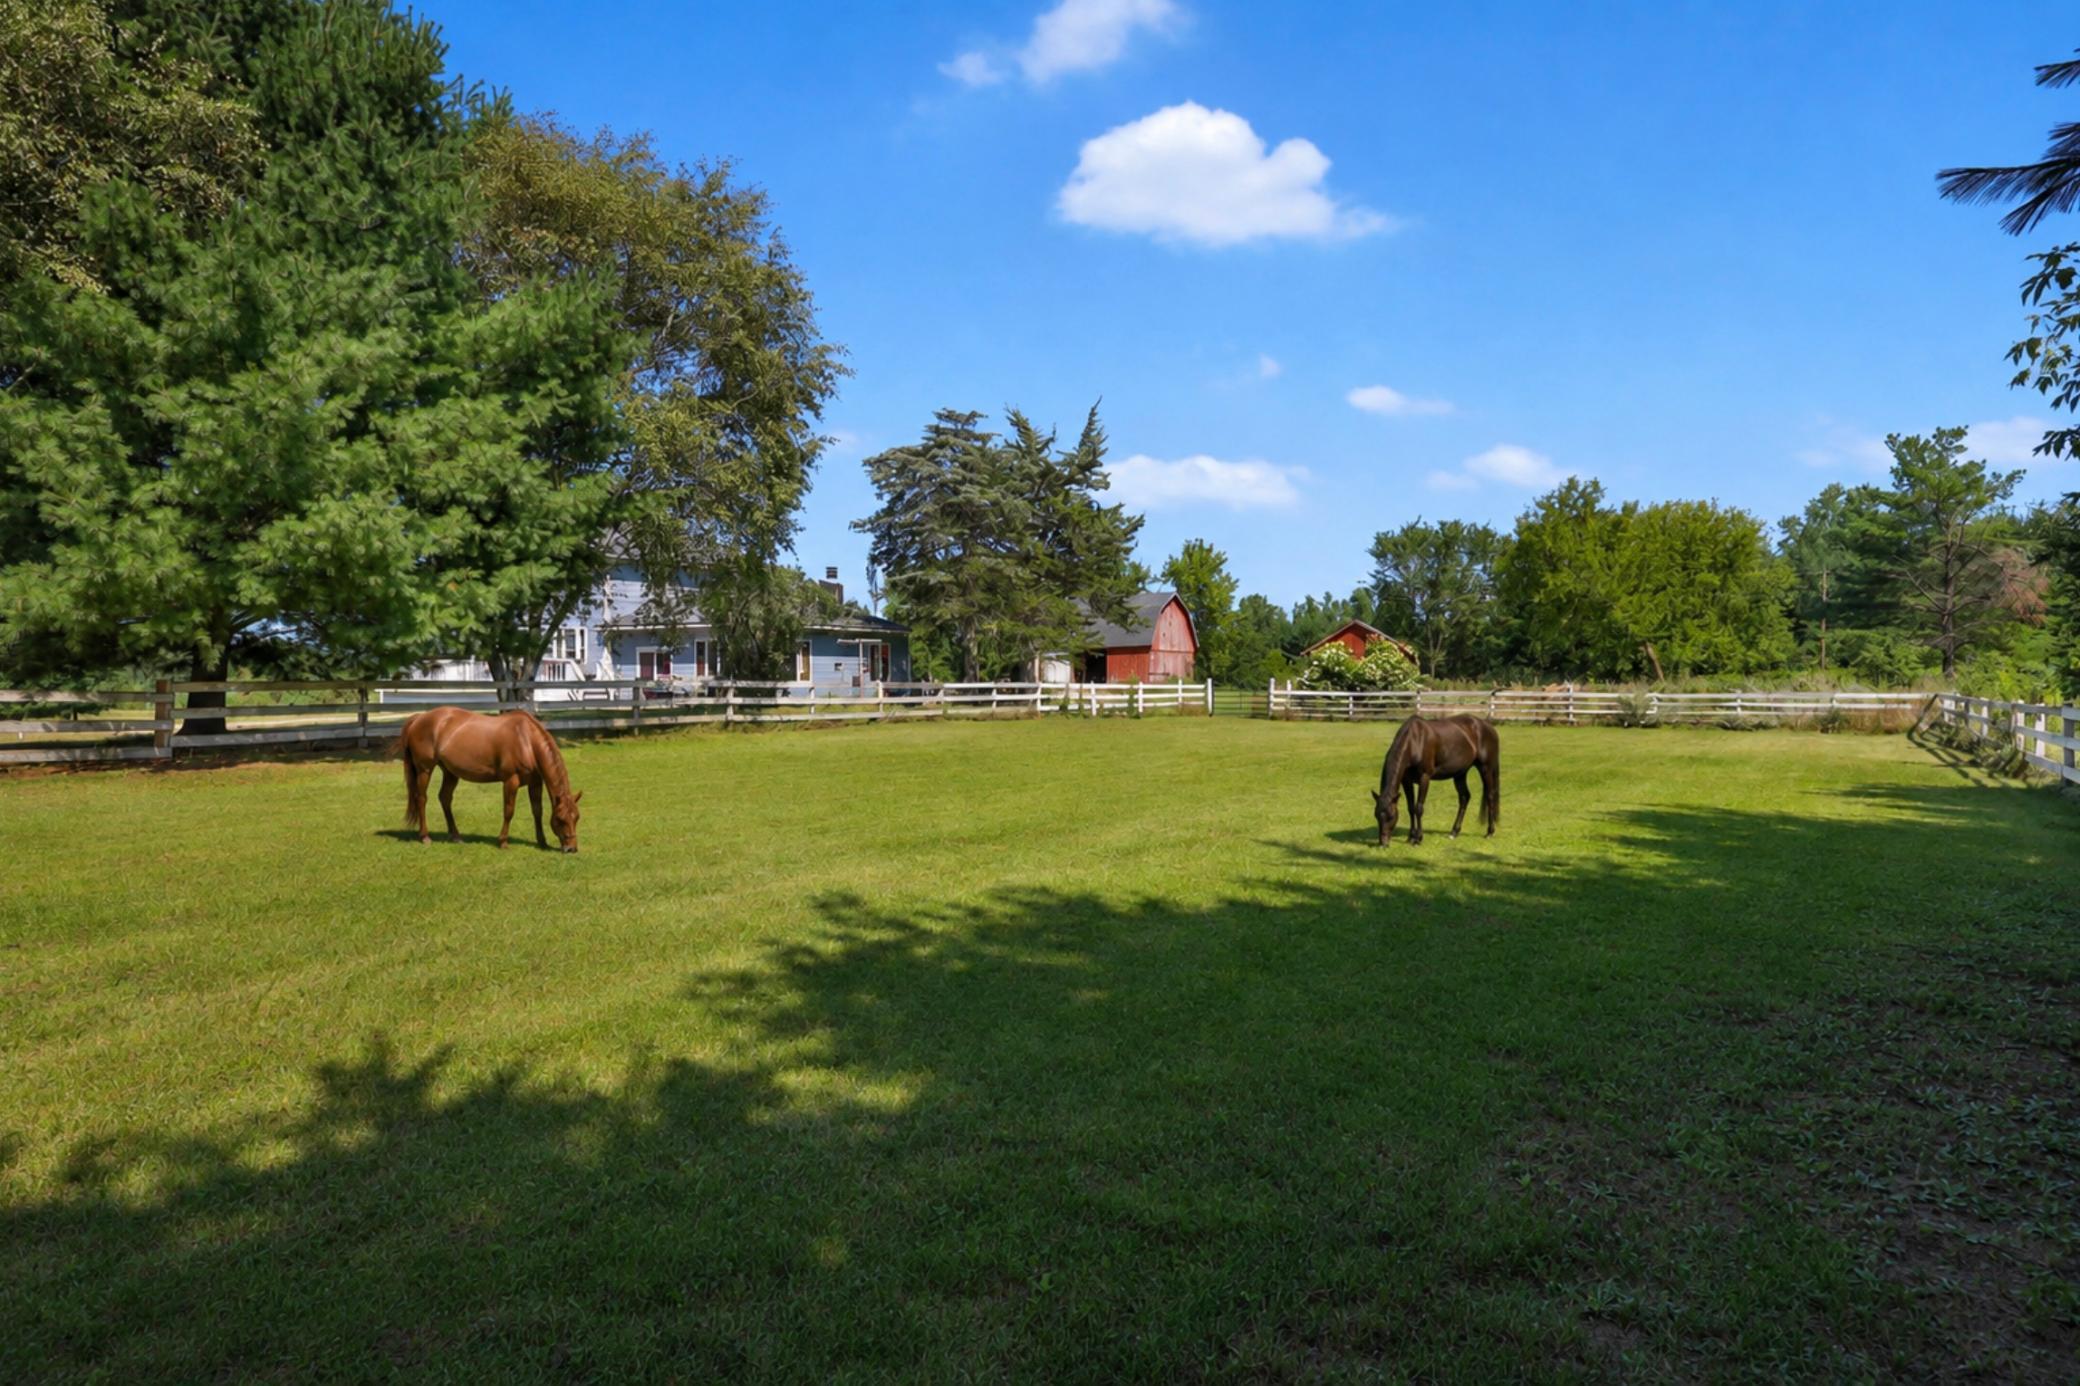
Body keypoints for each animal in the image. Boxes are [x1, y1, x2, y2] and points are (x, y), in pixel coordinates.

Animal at [390, 707, 583, 852]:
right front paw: (503, 841)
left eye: (576, 818)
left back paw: (456, 836)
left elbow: (537, 811)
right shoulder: (510, 781)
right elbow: (509, 811)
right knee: (421, 799)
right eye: (560, 819)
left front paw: (542, 842)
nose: (571, 848)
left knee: (445, 798)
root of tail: (419, 718)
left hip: (450, 772)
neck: (526, 740)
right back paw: (425, 836)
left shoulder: (535, 783)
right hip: (425, 770)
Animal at [1372, 714, 1499, 847]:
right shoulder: (1406, 781)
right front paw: (1411, 837)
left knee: (1490, 795)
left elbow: (1418, 808)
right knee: (1464, 797)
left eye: (1391, 816)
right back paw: (1454, 832)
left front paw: (1418, 838)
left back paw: (1490, 832)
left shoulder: (1424, 778)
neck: (1414, 742)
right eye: (1376, 815)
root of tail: (1488, 726)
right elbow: (1411, 808)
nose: (1383, 843)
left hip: (1486, 768)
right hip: (1460, 773)